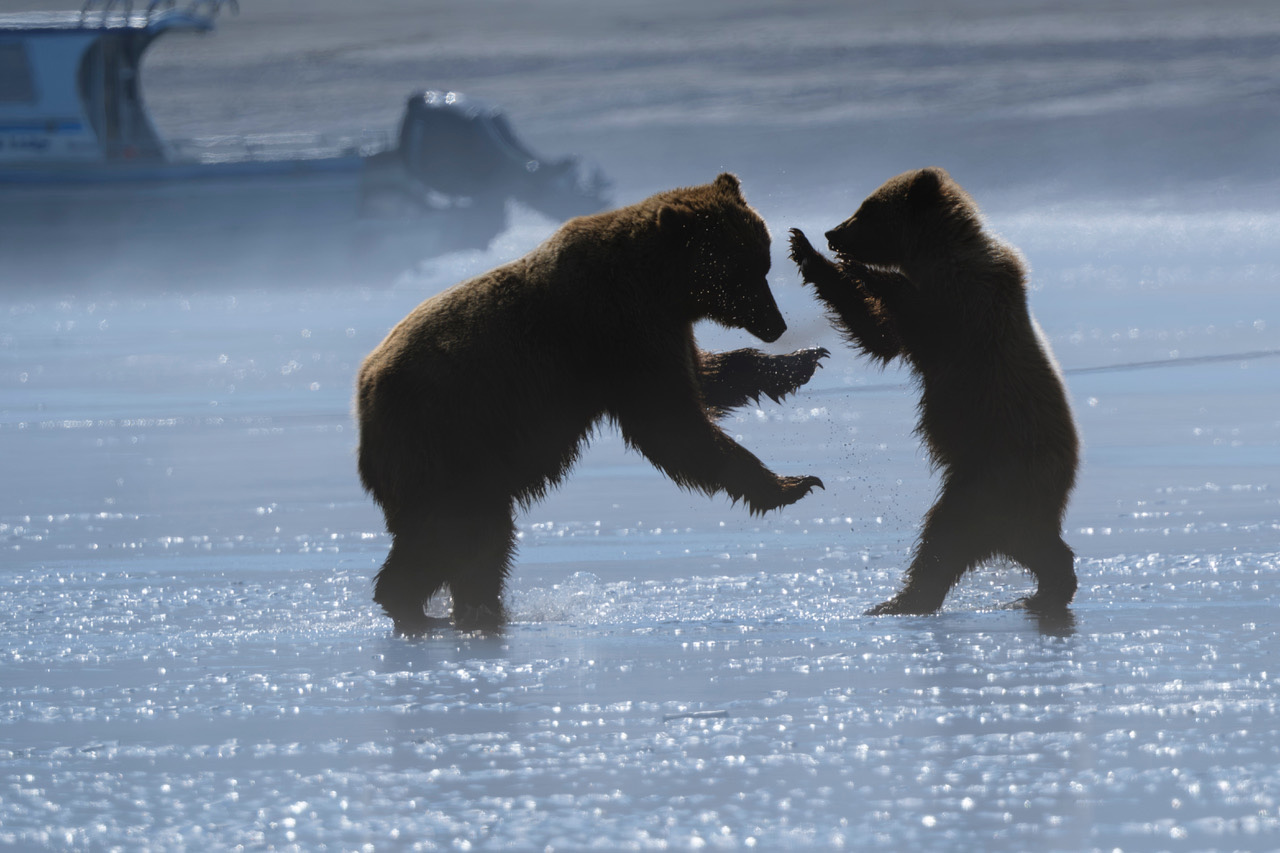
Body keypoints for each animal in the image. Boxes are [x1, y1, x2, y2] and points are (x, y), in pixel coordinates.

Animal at [357, 173, 826, 634]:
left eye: (763, 264)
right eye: (739, 272)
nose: (776, 325)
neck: (659, 285)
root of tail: (363, 394)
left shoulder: (661, 330)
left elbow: (705, 380)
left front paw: (800, 362)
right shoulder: (615, 329)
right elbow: (670, 424)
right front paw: (792, 483)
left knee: (478, 543)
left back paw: (472, 608)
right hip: (447, 440)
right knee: (460, 533)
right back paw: (419, 606)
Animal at [788, 167, 1080, 616]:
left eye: (868, 209)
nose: (833, 232)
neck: (936, 256)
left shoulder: (968, 306)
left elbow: (922, 319)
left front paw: (864, 270)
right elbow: (880, 336)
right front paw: (803, 248)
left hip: (992, 473)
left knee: (947, 534)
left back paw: (908, 598)